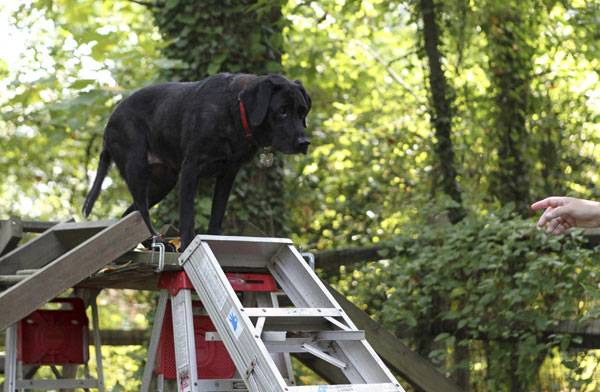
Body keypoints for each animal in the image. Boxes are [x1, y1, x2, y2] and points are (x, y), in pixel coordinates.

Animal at [82, 72, 312, 251]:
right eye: (282, 111)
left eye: (302, 112)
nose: (305, 143)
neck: (235, 113)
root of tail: (108, 126)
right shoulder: (190, 169)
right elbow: (187, 216)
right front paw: (187, 245)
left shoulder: (228, 174)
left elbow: (217, 215)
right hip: (137, 168)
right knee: (142, 210)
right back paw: (158, 242)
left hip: (164, 181)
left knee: (130, 215)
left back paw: (151, 243)